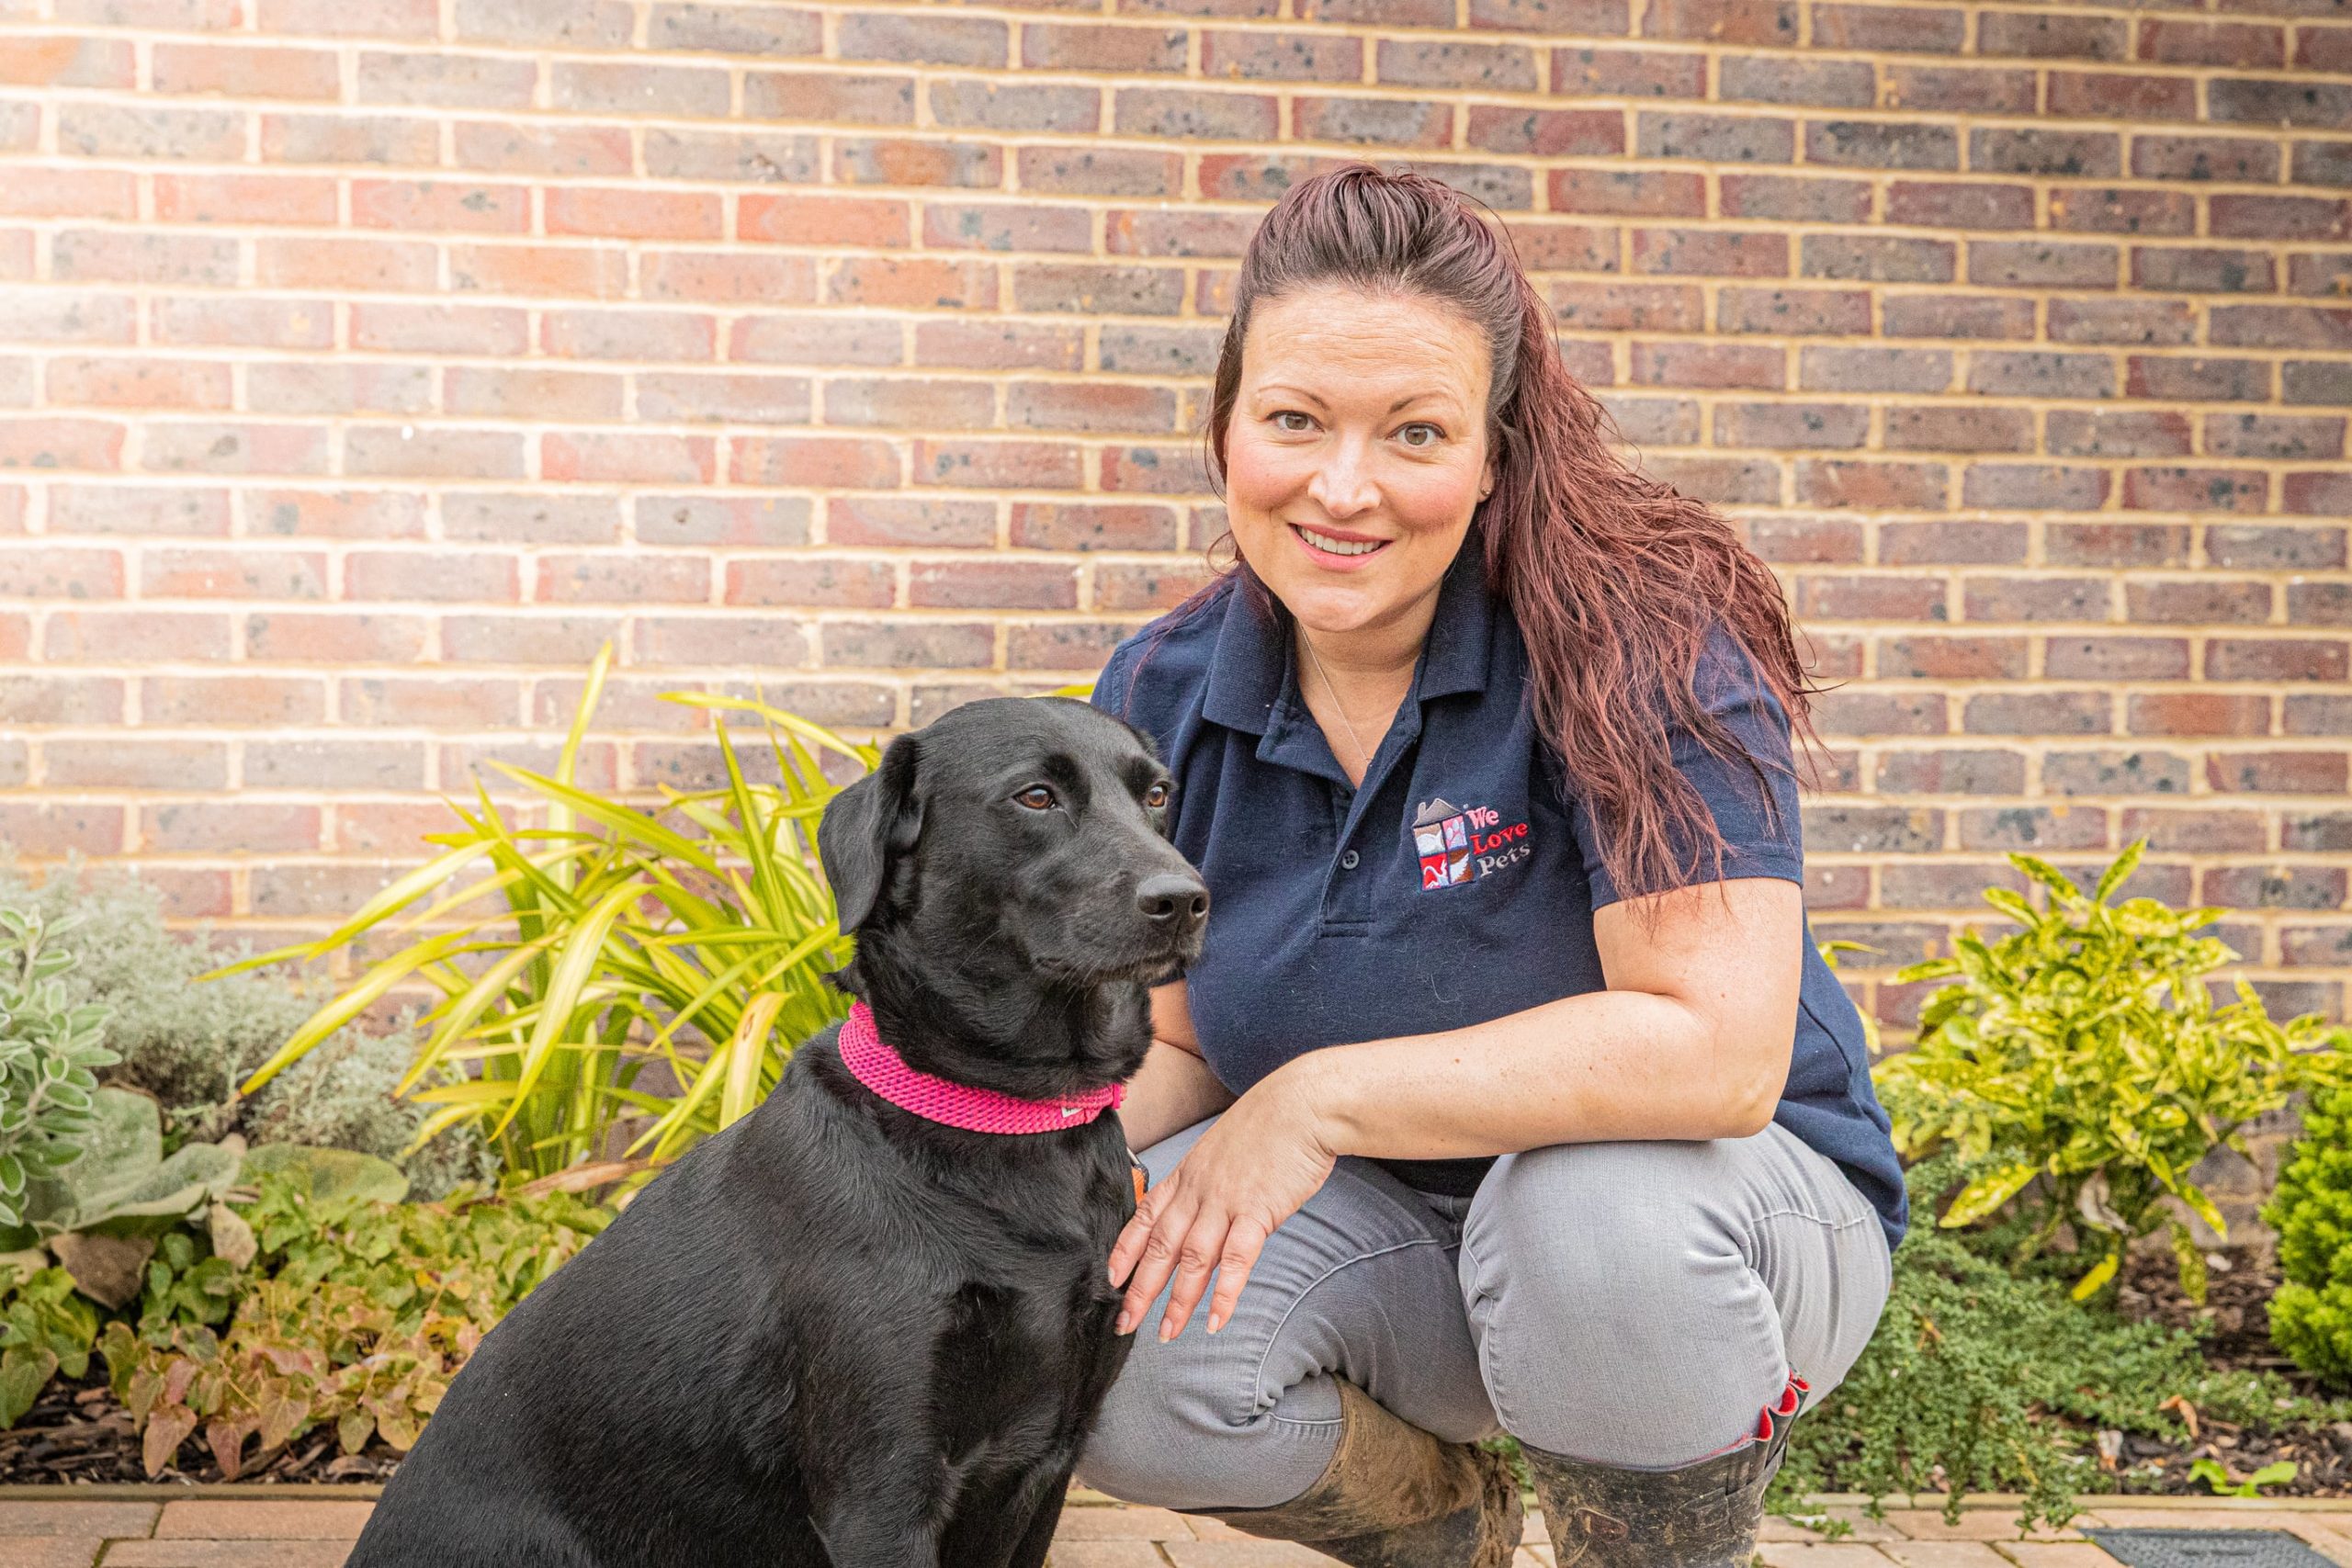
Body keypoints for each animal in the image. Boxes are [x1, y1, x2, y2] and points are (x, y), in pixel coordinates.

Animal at [347, 700, 1213, 1568]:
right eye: (1036, 796)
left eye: (1158, 794)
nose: (1186, 898)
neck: (1007, 1115)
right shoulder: (883, 1488)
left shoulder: (1046, 1467)